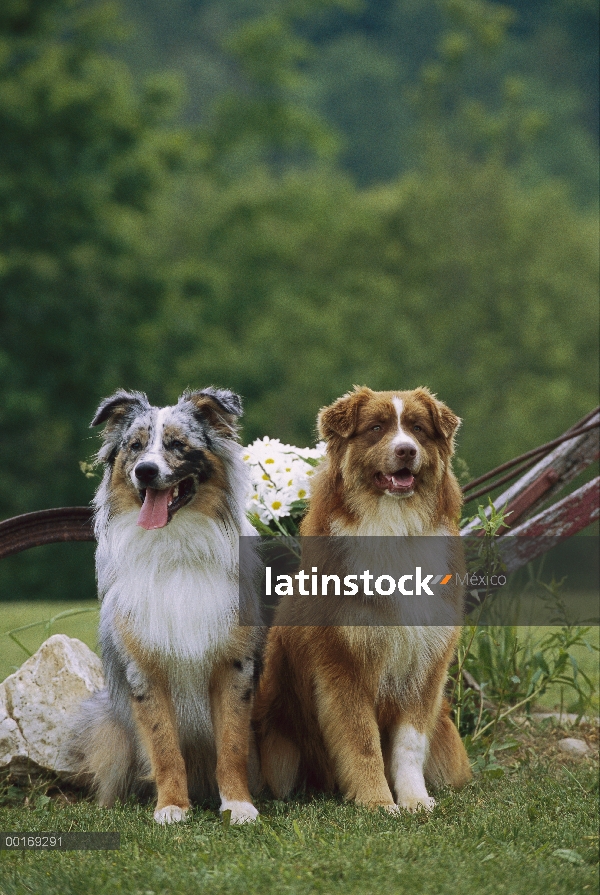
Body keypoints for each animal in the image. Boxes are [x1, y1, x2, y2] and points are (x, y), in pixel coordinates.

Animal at [67, 388, 260, 824]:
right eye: (135, 447)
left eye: (176, 445)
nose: (145, 471)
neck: (176, 547)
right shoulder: (145, 669)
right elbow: (164, 747)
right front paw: (171, 807)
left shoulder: (233, 663)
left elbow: (232, 744)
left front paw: (239, 805)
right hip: (108, 724)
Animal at [255, 384, 472, 812]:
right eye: (375, 428)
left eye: (418, 429)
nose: (406, 451)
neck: (394, 526)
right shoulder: (343, 662)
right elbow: (361, 740)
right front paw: (378, 803)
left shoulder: (424, 664)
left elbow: (408, 744)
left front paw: (415, 800)